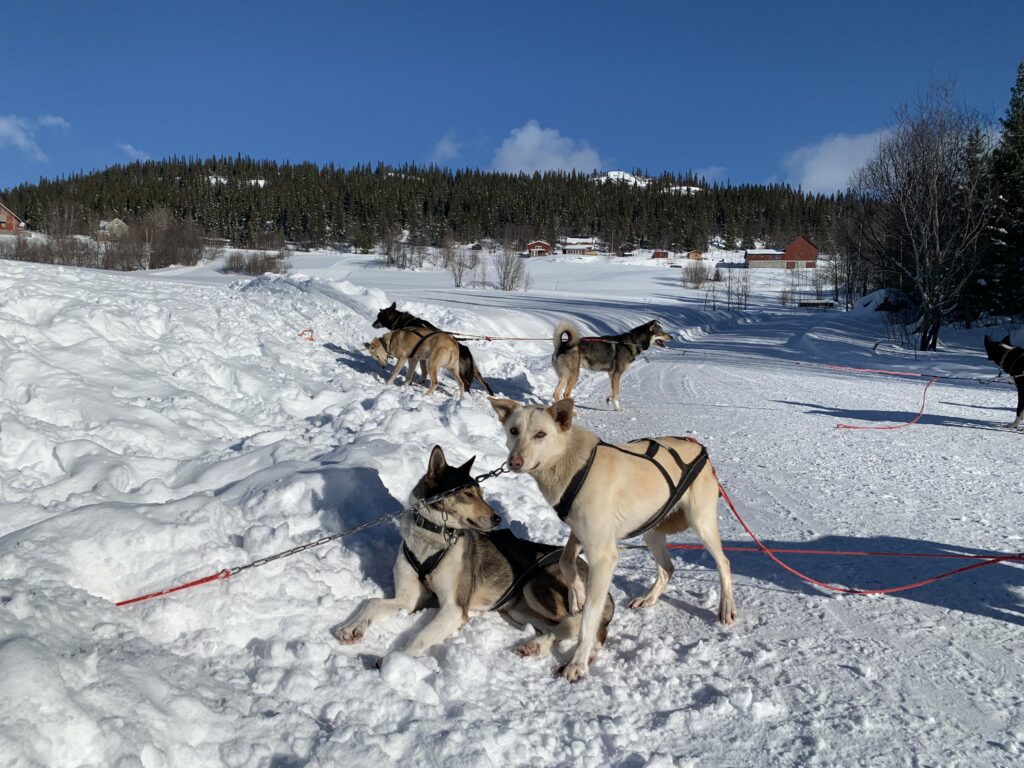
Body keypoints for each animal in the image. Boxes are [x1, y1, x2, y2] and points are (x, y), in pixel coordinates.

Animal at [487, 399, 737, 684]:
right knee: (667, 568)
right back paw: (649, 598)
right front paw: (577, 594)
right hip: (651, 529)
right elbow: (565, 561)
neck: (572, 464)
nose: (514, 461)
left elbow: (588, 620)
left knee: (723, 562)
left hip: (701, 522)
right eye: (514, 430)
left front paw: (577, 663)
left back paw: (727, 607)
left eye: (541, 434)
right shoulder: (580, 533)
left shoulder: (603, 556)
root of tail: (698, 447)